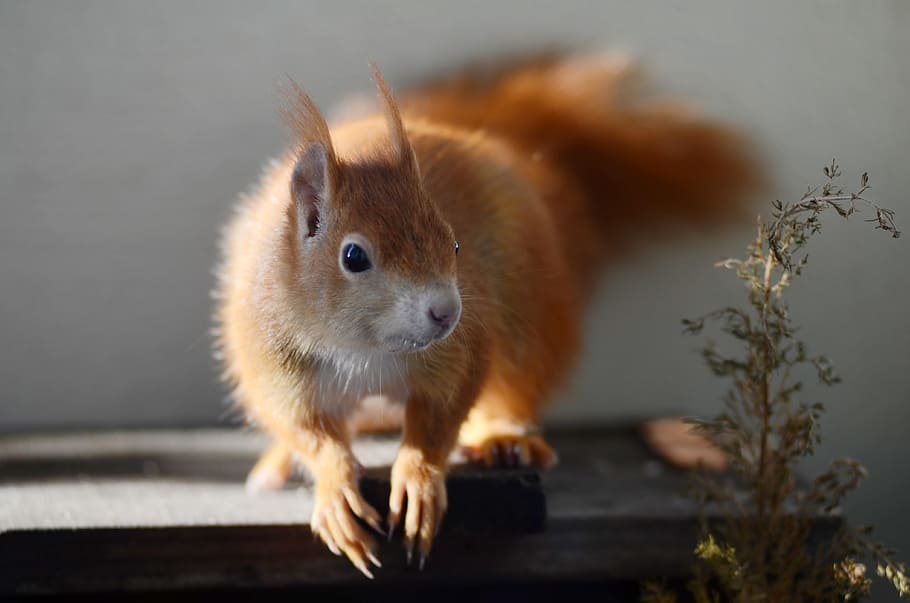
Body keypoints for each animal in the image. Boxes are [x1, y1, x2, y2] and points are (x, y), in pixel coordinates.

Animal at [214, 53, 759, 577]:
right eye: (353, 256)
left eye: (455, 244)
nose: (446, 312)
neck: (366, 349)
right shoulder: (274, 359)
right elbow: (306, 428)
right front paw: (333, 487)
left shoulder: (458, 352)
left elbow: (440, 418)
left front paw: (417, 478)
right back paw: (277, 464)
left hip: (528, 312)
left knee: (515, 383)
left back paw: (502, 437)